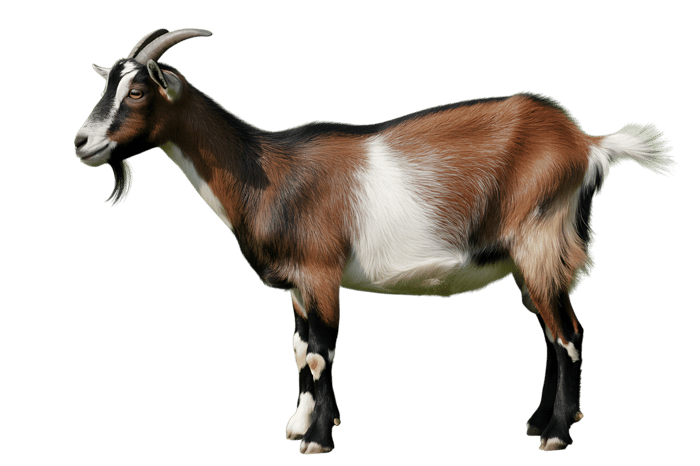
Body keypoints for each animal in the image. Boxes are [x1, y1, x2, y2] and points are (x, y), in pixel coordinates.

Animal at [73, 28, 676, 455]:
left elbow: (321, 353)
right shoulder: (300, 283)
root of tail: (587, 143)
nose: (81, 142)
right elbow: (300, 348)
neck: (266, 171)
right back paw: (538, 421)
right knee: (549, 331)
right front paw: (303, 422)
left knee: (568, 333)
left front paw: (318, 438)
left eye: (137, 90)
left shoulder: (319, 271)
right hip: (530, 256)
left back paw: (557, 434)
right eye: (108, 85)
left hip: (540, 239)